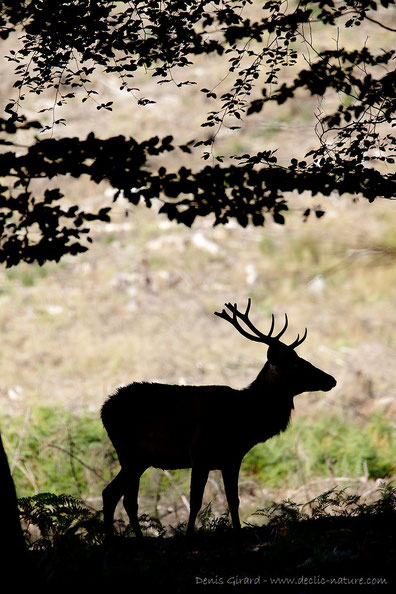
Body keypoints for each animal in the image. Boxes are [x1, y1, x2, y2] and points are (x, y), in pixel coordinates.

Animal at [100, 298, 336, 540]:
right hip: (130, 454)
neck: (248, 419)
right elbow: (195, 501)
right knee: (122, 497)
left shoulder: (232, 458)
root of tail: (104, 409)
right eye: (296, 363)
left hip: (138, 459)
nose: (331, 379)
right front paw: (189, 535)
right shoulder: (200, 454)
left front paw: (238, 531)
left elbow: (233, 499)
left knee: (114, 494)